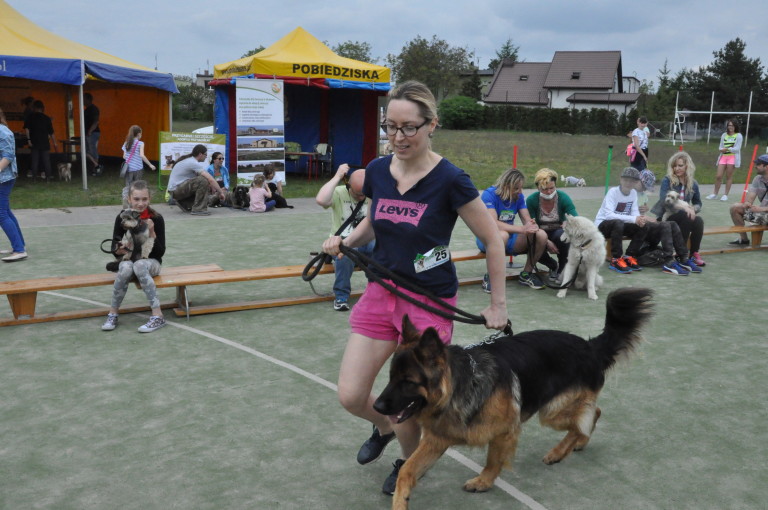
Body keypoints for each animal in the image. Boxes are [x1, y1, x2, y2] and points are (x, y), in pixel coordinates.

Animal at [374, 288, 654, 510]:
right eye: (390, 377)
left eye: (408, 382)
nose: (376, 406)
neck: (462, 386)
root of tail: (590, 346)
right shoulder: (436, 440)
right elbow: (406, 471)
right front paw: (400, 501)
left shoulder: (505, 432)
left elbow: (493, 460)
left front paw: (484, 481)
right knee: (591, 414)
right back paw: (578, 444)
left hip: (551, 410)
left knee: (584, 419)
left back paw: (558, 452)